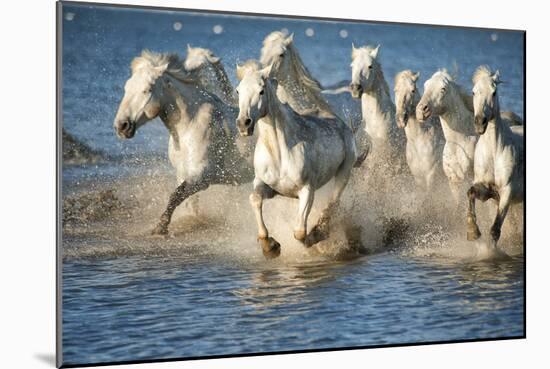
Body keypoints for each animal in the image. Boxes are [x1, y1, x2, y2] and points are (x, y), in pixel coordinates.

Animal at [116, 50, 254, 234]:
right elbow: (189, 202)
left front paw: (160, 227)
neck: (189, 126)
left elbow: (175, 196)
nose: (121, 126)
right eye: (127, 88)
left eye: (147, 90)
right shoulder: (182, 173)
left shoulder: (202, 177)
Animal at [236, 64, 358, 258]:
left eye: (261, 91)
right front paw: (270, 246)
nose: (243, 124)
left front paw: (311, 238)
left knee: (333, 203)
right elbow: (254, 199)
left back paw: (321, 233)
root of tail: (341, 122)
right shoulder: (267, 186)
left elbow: (299, 232)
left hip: (344, 173)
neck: (279, 152)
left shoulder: (307, 190)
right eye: (238, 90)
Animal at [470, 66, 528, 246]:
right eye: (474, 92)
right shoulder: (486, 190)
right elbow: (470, 193)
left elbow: (495, 230)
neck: (493, 153)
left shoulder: (506, 193)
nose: (480, 122)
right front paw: (473, 232)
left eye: (494, 92)